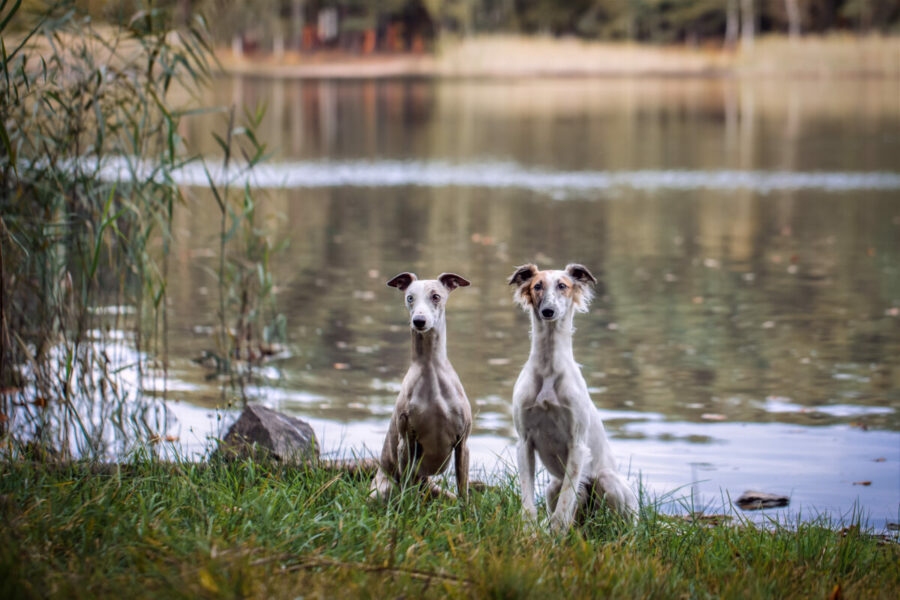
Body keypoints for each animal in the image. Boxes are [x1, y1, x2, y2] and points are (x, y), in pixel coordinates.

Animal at [370, 272, 474, 502]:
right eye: (410, 297)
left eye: (436, 296)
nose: (419, 321)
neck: (431, 370)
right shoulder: (406, 443)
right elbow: (406, 487)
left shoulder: (463, 444)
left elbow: (463, 493)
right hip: (382, 489)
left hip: (438, 491)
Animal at [510, 262, 636, 528]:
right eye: (537, 286)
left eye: (563, 286)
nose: (548, 311)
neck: (548, 370)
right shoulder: (524, 442)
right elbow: (528, 505)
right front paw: (529, 533)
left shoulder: (577, 445)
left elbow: (562, 511)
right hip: (553, 486)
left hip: (609, 482)